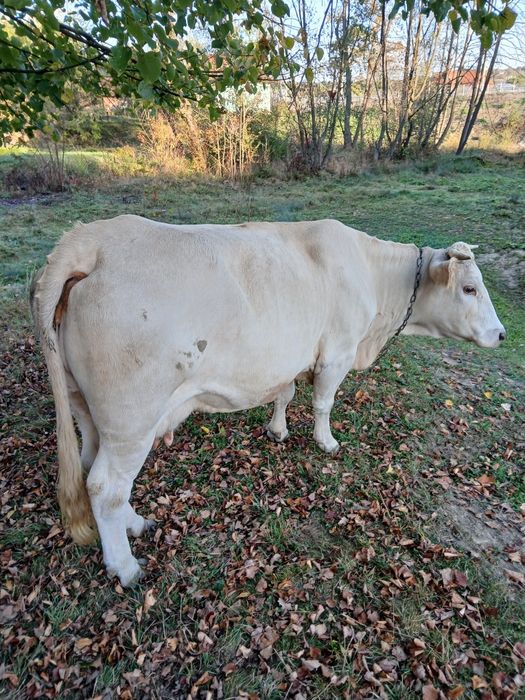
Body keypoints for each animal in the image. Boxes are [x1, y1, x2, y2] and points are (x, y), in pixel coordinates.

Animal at [32, 215, 506, 586]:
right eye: (469, 289)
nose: (501, 334)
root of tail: (92, 239)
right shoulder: (336, 353)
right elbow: (323, 403)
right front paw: (325, 442)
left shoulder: (290, 355)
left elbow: (286, 393)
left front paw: (278, 430)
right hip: (131, 420)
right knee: (105, 487)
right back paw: (125, 566)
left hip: (86, 408)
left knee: (92, 467)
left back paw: (135, 523)